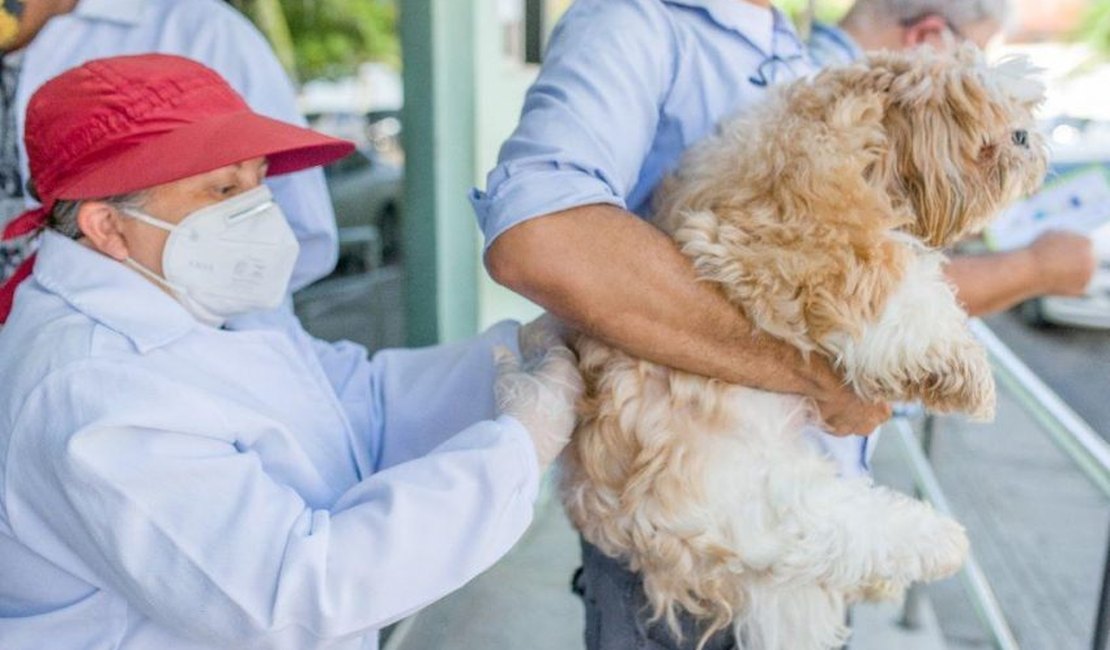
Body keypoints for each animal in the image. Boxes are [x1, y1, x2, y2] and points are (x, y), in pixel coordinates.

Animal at [563, 46, 1047, 647]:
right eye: (995, 123)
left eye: (1024, 117)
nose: (1027, 137)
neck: (858, 129)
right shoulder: (795, 241)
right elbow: (897, 284)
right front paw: (963, 368)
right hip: (755, 492)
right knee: (838, 528)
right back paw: (938, 541)